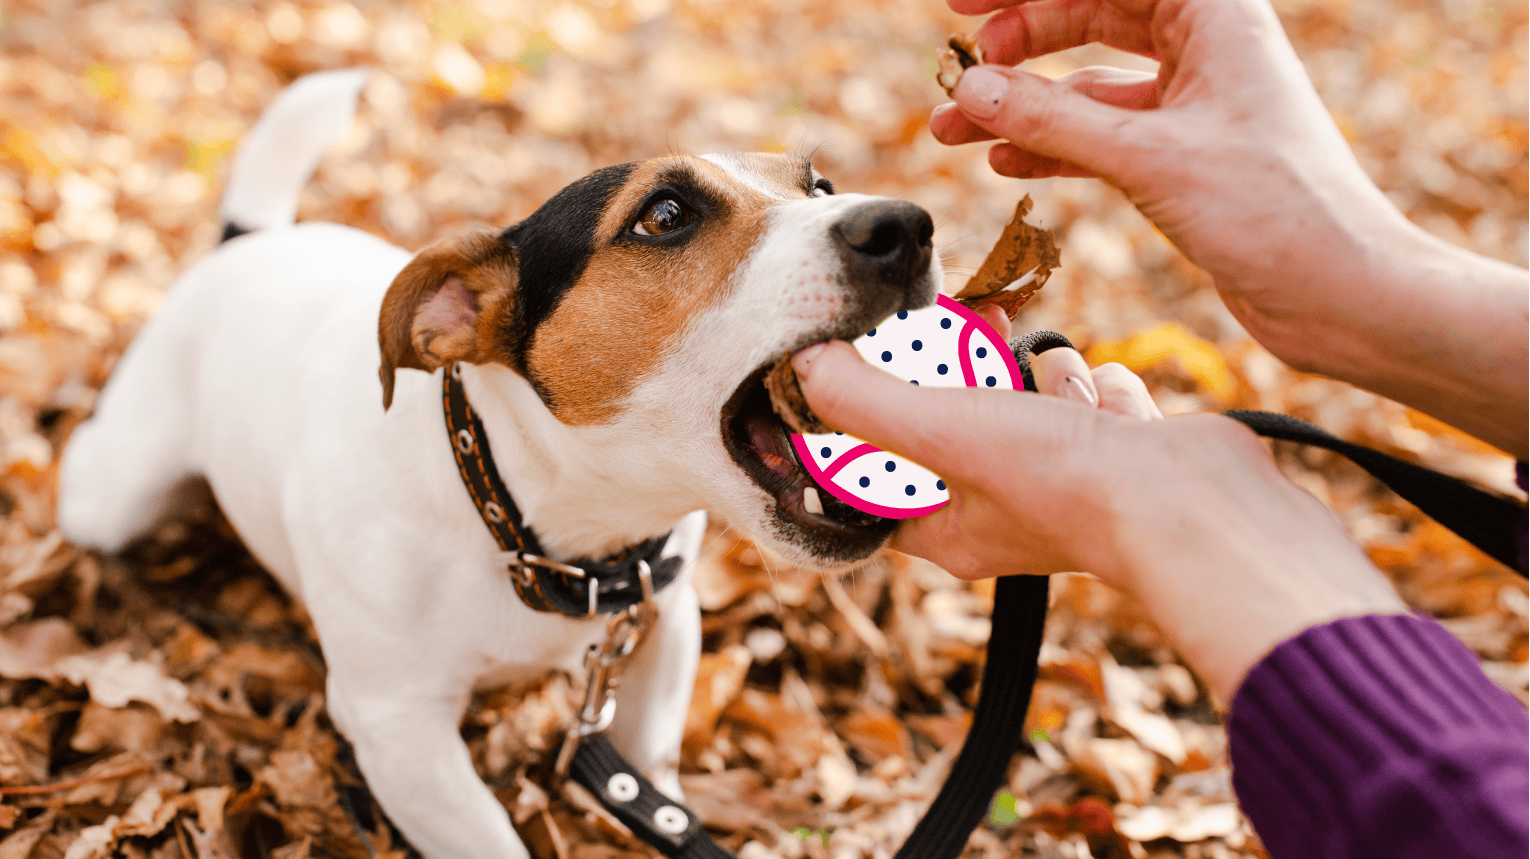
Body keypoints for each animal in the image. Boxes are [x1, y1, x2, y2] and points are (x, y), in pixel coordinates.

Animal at [56, 71, 942, 857]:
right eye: (665, 214)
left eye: (820, 183)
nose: (905, 226)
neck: (525, 516)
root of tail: (252, 241)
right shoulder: (396, 726)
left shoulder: (666, 620)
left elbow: (653, 769)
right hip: (114, 494)